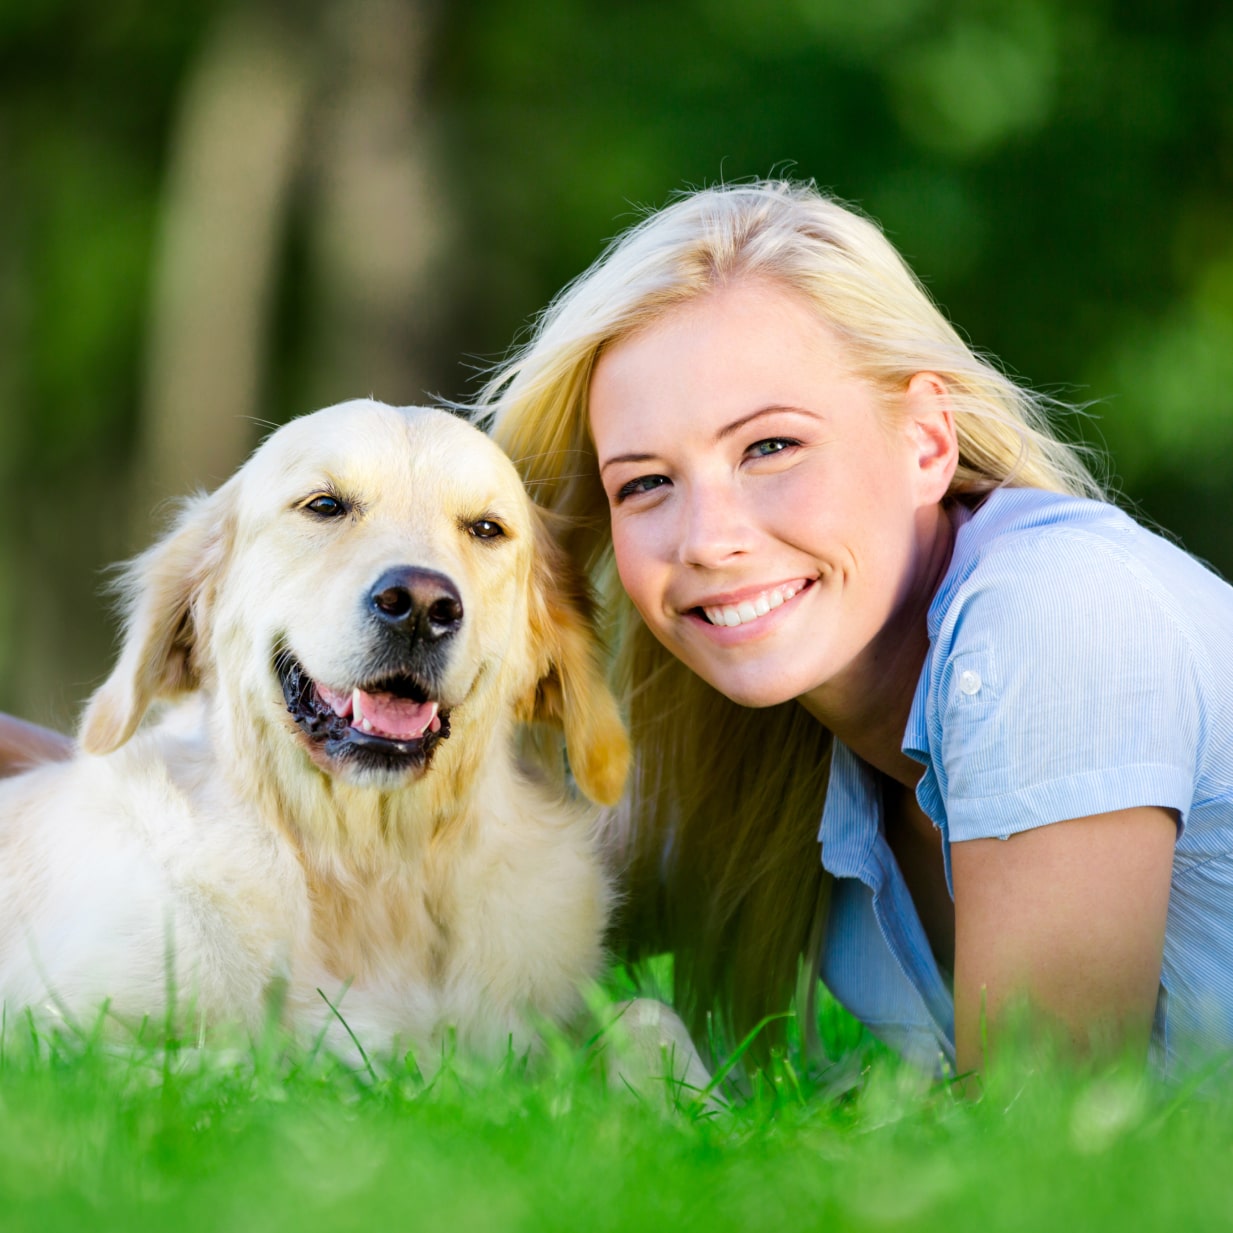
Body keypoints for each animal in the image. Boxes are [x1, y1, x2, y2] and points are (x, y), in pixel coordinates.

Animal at [0, 399, 636, 1065]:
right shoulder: (50, 1030)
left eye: (487, 529)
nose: (420, 605)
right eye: (325, 505)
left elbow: (645, 1019)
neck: (369, 869)